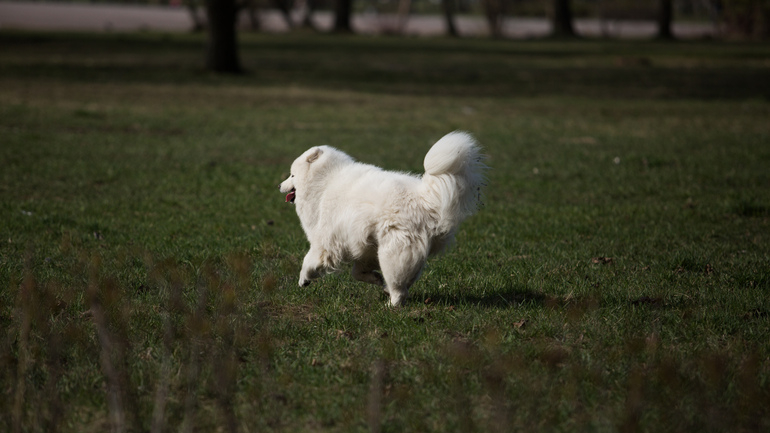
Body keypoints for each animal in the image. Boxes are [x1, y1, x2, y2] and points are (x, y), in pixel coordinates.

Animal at [278, 131, 486, 304]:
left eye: (292, 175)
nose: (279, 185)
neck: (325, 183)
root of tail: (425, 198)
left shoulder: (326, 242)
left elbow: (308, 261)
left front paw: (303, 279)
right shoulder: (365, 246)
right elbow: (358, 272)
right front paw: (376, 279)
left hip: (392, 252)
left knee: (399, 286)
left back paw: (392, 304)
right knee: (408, 280)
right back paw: (389, 290)